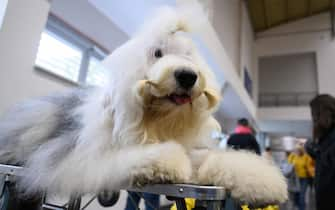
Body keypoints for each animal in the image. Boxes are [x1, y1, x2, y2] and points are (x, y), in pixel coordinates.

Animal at [0, 5, 288, 206]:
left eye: (188, 56)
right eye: (157, 53)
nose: (187, 75)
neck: (157, 122)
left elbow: (213, 157)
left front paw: (263, 181)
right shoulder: (78, 160)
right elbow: (131, 157)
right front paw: (168, 162)